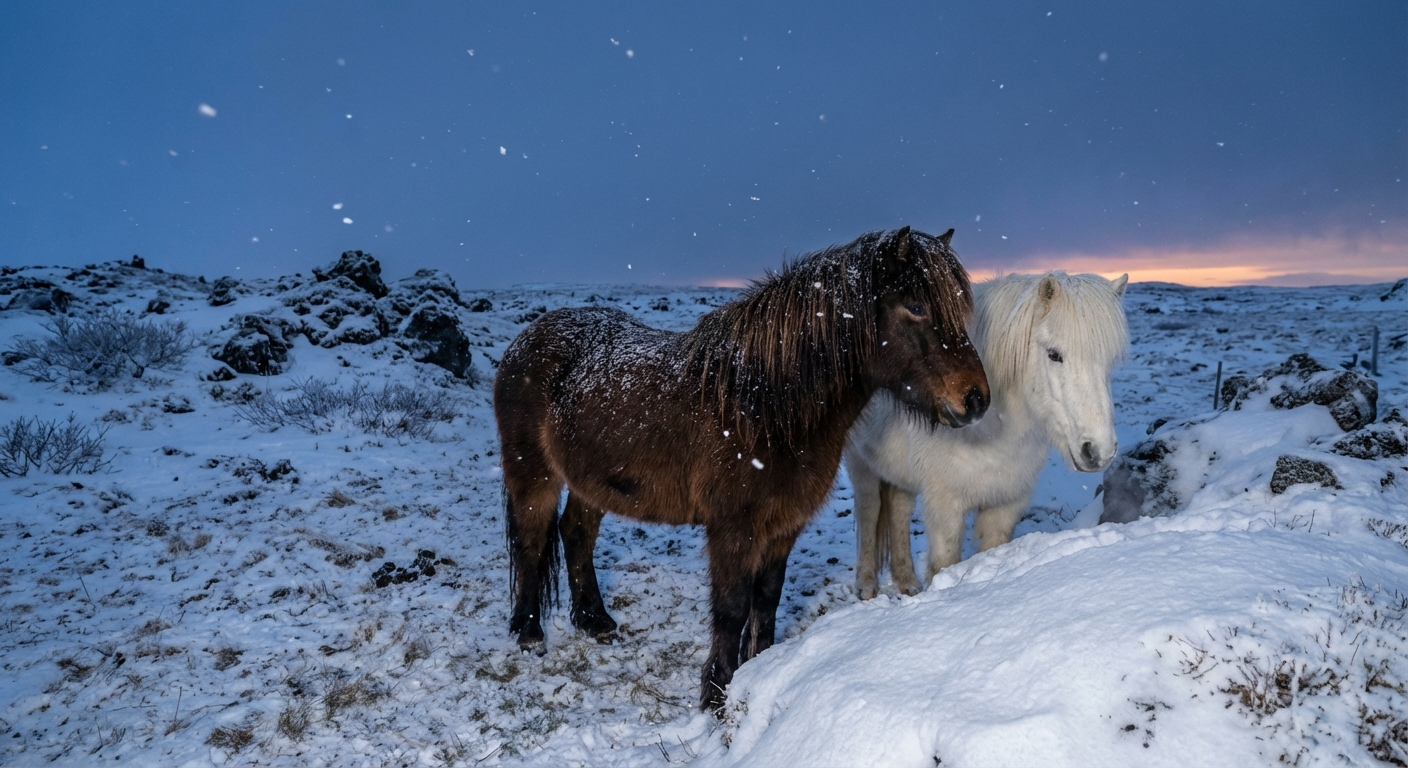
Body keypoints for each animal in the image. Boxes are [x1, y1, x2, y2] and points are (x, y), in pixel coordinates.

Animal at [493, 226, 990, 711]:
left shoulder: (784, 524)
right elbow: (732, 608)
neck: (765, 406)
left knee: (576, 533)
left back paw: (595, 620)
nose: (976, 400)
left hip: (591, 483)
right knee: (531, 538)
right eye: (917, 306)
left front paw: (759, 669)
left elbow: (766, 599)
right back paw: (530, 632)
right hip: (533, 473)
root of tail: (528, 337)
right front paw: (716, 694)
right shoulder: (733, 528)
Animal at [845, 271, 1128, 599]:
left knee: (898, 510)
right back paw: (867, 586)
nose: (1099, 452)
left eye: (1109, 360)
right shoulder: (945, 506)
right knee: (868, 511)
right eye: (1054, 354)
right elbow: (943, 563)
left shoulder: (1004, 505)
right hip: (860, 464)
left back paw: (907, 583)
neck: (990, 428)